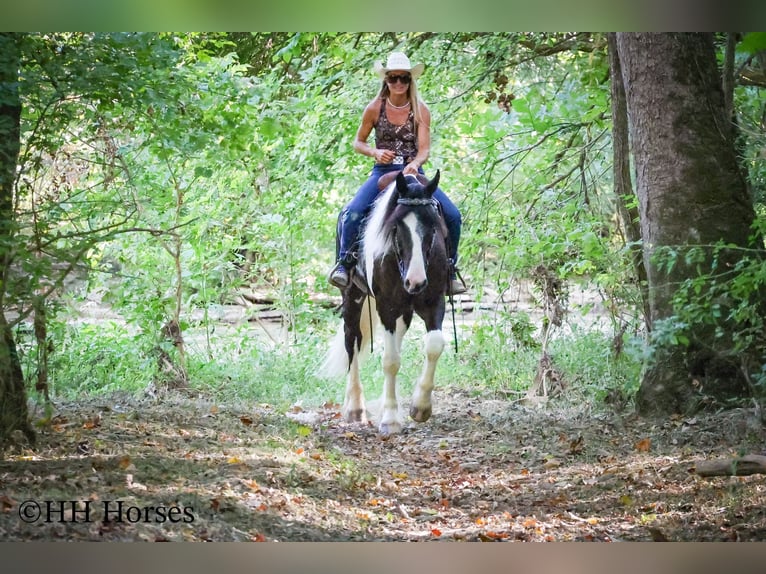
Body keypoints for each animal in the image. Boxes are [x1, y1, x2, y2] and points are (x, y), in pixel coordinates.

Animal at [321, 170, 449, 435]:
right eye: (397, 227)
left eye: (433, 226)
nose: (415, 281)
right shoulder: (386, 305)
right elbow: (390, 361)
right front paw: (390, 419)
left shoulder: (433, 301)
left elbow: (434, 346)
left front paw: (420, 407)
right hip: (353, 296)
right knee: (352, 340)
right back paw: (354, 408)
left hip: (404, 311)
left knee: (394, 339)